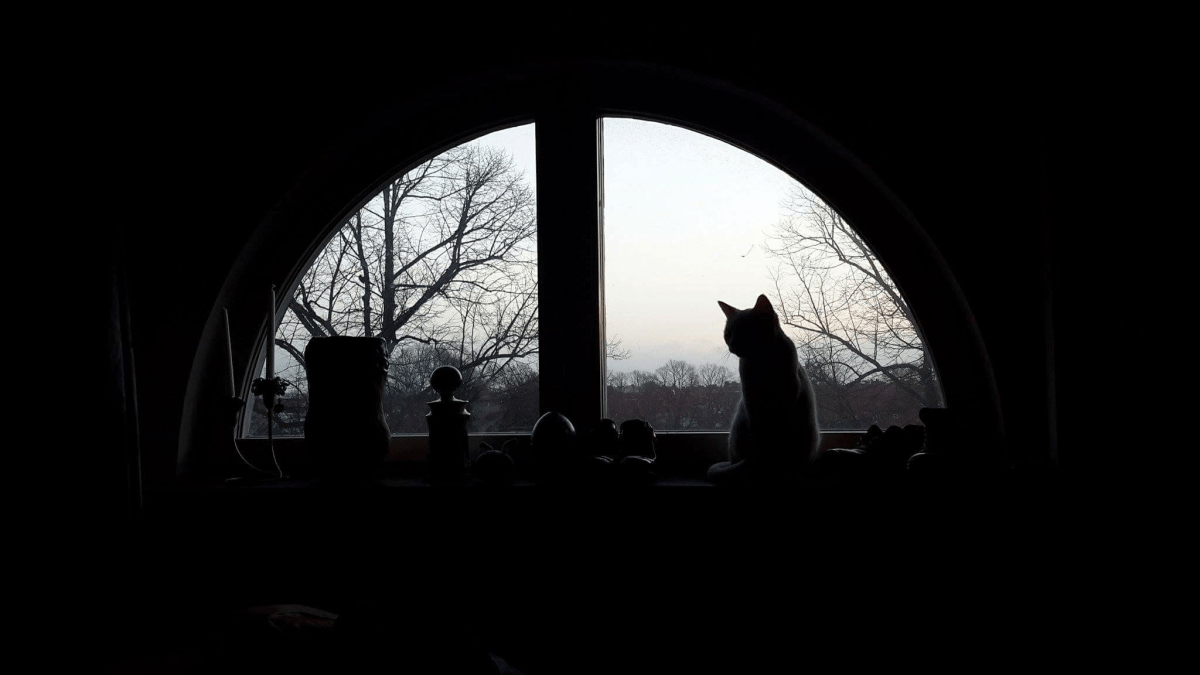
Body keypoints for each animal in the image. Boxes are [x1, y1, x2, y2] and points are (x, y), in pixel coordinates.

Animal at [707, 294, 820, 486]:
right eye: (728, 334)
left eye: (745, 332)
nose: (732, 345)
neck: (762, 361)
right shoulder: (753, 404)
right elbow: (762, 444)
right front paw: (763, 470)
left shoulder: (787, 398)